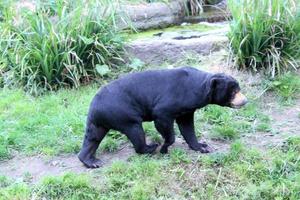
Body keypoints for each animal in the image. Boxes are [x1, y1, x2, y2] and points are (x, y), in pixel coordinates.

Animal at [78, 67, 247, 167]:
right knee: (136, 132)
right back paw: (151, 147)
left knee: (93, 138)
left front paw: (203, 146)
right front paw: (164, 148)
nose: (245, 100)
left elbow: (187, 127)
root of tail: (94, 105)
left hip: (100, 121)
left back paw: (91, 161)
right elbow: (164, 120)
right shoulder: (168, 104)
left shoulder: (187, 110)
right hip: (124, 114)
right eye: (234, 92)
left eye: (239, 89)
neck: (198, 88)